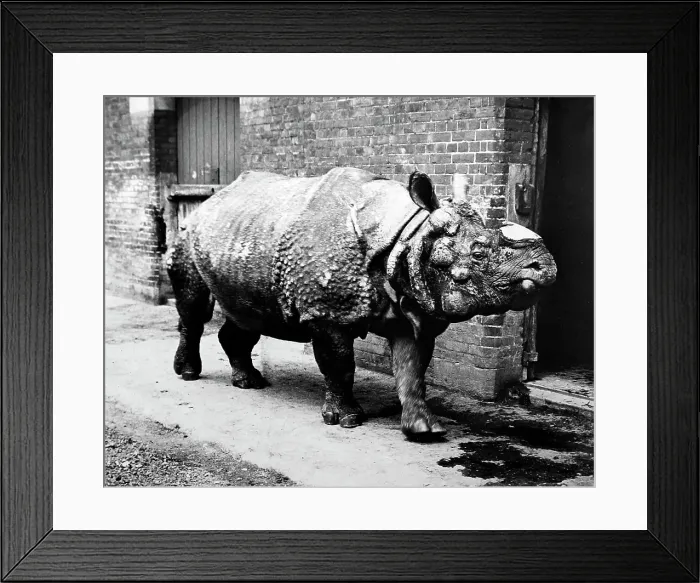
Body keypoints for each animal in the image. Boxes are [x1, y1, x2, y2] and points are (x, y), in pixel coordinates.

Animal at [166, 167, 556, 439]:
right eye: (478, 254)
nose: (545, 266)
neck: (408, 234)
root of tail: (211, 200)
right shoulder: (326, 314)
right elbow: (340, 364)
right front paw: (348, 420)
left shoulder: (410, 308)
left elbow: (412, 369)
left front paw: (424, 431)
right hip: (189, 232)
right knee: (194, 307)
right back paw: (189, 374)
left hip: (243, 237)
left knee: (248, 316)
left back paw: (250, 382)